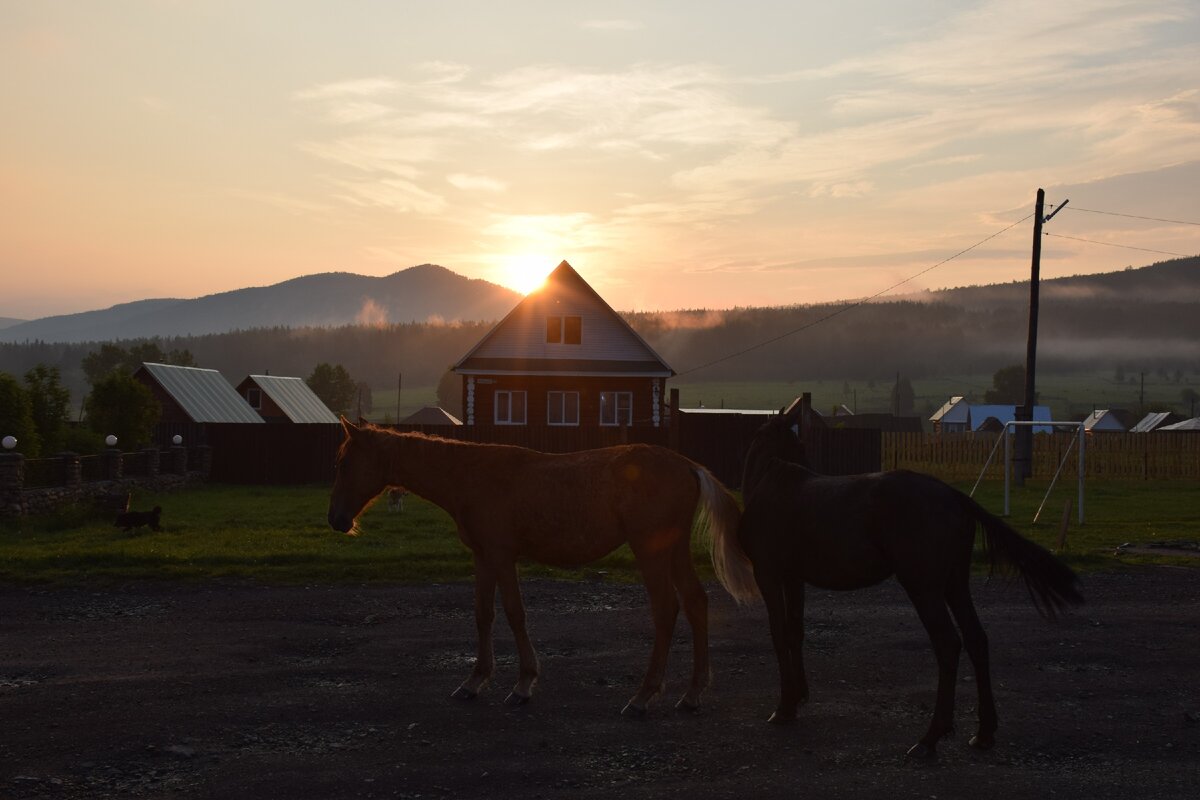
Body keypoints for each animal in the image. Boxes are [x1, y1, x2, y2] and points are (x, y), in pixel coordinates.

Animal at [328, 419, 753, 714]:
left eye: (345, 463)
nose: (336, 520)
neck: (470, 475)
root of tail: (688, 466)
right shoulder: (483, 557)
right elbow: (483, 614)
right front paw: (474, 681)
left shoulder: (502, 556)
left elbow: (515, 613)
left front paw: (523, 685)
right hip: (673, 550)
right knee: (696, 603)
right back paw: (692, 694)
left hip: (650, 551)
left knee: (666, 610)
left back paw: (643, 696)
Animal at [734, 400, 1084, 758]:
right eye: (799, 445)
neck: (771, 482)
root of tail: (952, 495)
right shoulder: (793, 577)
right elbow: (795, 631)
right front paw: (799, 694)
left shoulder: (768, 573)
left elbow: (779, 634)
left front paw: (784, 707)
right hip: (954, 583)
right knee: (976, 638)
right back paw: (984, 732)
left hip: (923, 586)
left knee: (948, 644)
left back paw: (930, 738)